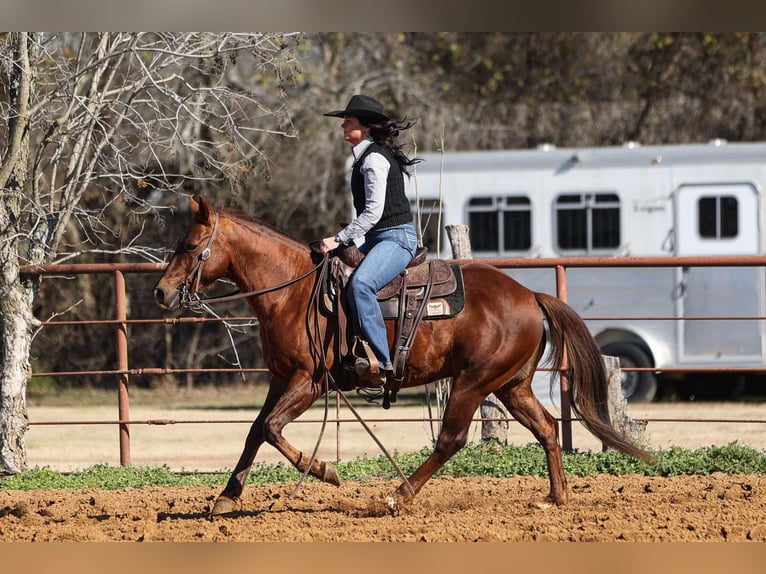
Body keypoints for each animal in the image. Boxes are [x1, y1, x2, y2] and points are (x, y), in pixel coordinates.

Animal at [154, 197, 656, 516]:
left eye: (190, 246)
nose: (161, 292)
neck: (293, 292)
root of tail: (530, 295)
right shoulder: (280, 378)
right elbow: (255, 431)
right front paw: (227, 497)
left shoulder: (309, 381)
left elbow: (274, 429)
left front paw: (326, 471)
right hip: (512, 385)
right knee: (548, 429)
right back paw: (555, 498)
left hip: (473, 382)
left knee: (451, 439)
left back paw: (398, 495)